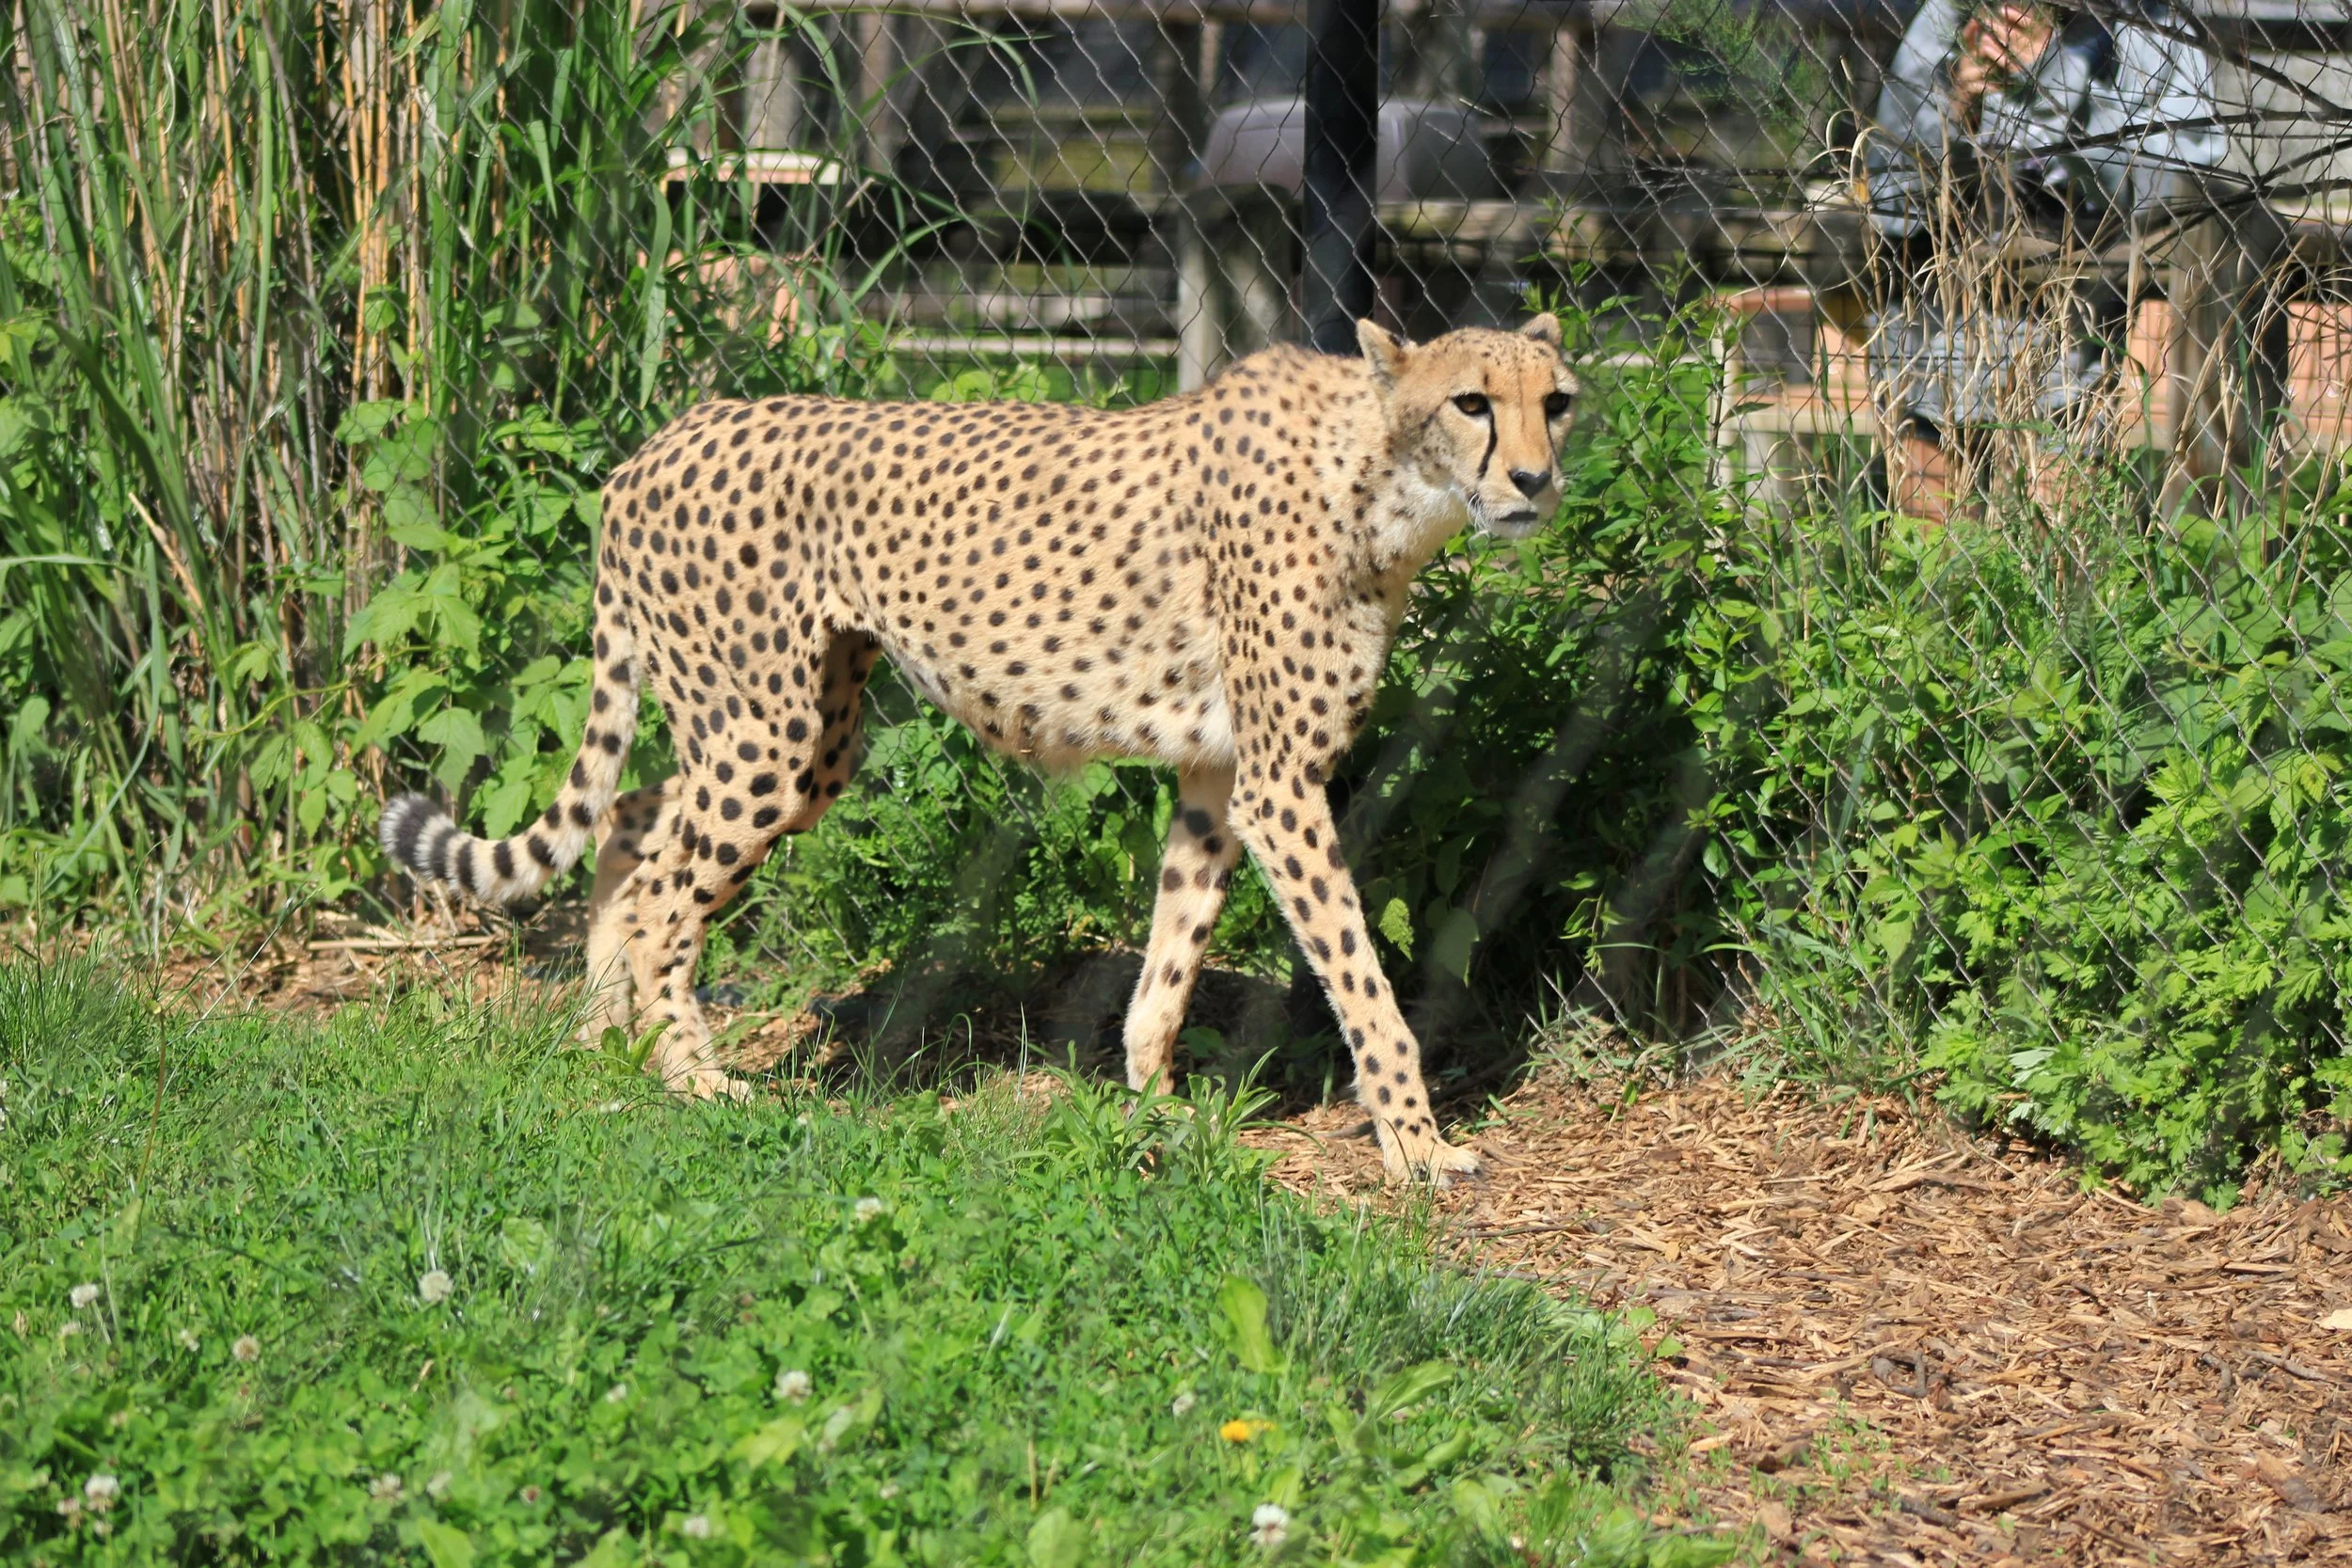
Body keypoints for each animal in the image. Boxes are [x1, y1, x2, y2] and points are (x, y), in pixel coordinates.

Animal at [379, 314, 1578, 1182]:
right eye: (1472, 401)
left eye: (1556, 401)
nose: (1534, 480)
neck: (1379, 478)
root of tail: (662, 438)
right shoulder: (1281, 785)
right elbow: (1362, 978)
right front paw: (1420, 1145)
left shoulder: (1219, 771)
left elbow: (1173, 948)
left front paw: (1153, 1101)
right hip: (768, 732)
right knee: (665, 890)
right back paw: (693, 1080)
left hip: (795, 728)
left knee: (629, 828)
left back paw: (601, 1041)